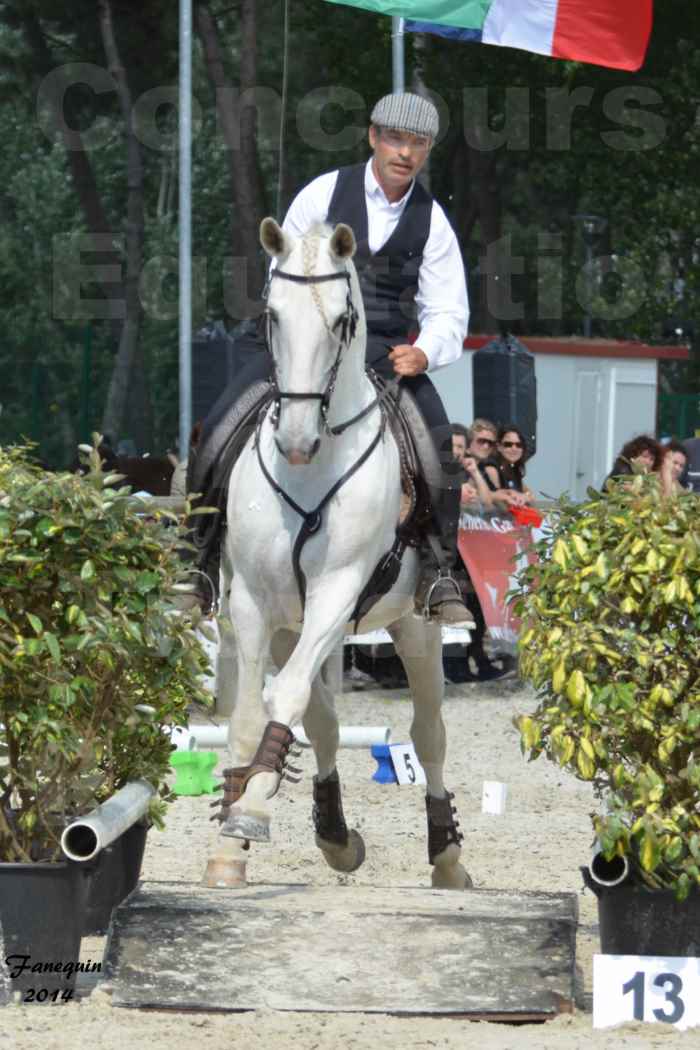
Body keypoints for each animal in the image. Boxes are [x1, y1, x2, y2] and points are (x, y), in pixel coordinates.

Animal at [205, 217, 474, 890]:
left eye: (342, 321)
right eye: (273, 315)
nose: (297, 442)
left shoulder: (338, 592)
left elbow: (285, 699)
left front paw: (251, 811)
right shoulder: (253, 603)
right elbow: (251, 717)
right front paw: (231, 839)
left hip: (414, 624)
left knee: (427, 734)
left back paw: (447, 856)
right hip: (287, 624)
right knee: (323, 721)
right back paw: (333, 836)